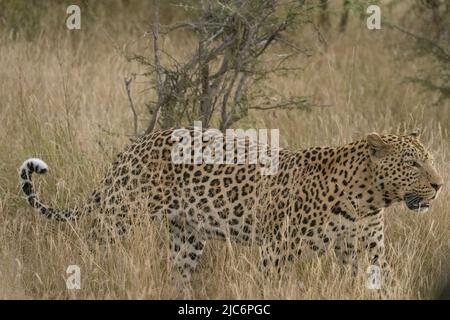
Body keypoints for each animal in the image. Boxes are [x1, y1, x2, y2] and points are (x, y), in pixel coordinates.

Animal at [18, 127, 442, 282]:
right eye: (412, 163)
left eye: (429, 159)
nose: (439, 186)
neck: (369, 198)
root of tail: (135, 145)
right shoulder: (278, 248)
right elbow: (273, 287)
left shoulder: (368, 252)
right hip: (120, 215)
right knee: (88, 246)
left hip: (187, 236)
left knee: (179, 274)